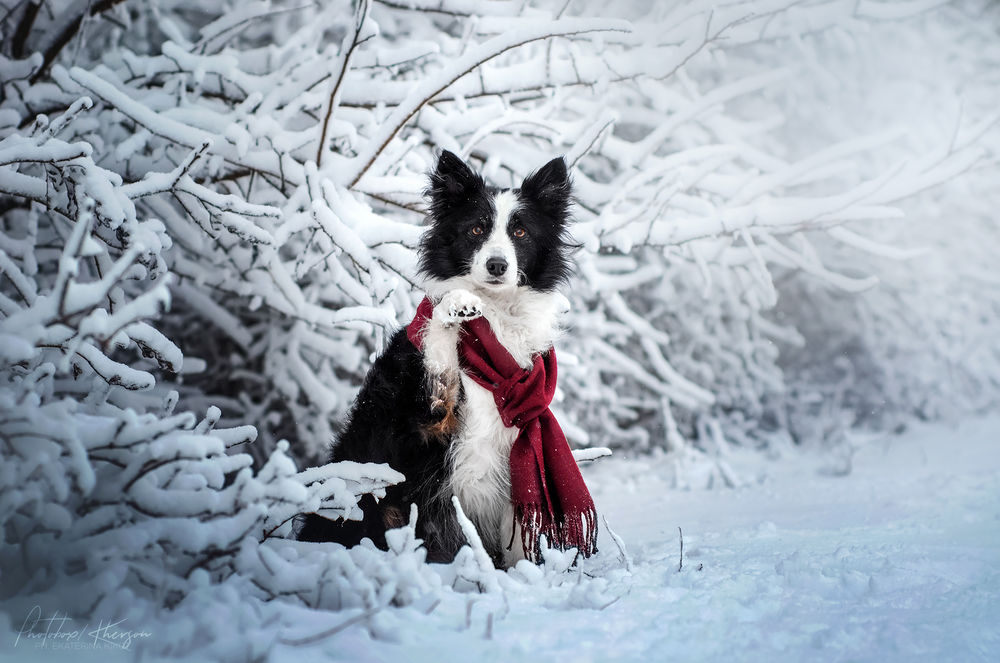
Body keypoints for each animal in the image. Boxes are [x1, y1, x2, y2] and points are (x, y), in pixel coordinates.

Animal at [294, 152, 580, 572]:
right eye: (476, 229)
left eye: (520, 232)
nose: (497, 265)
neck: (496, 322)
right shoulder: (422, 429)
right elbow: (438, 351)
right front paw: (454, 307)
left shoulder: (518, 451)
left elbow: (518, 538)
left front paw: (524, 577)